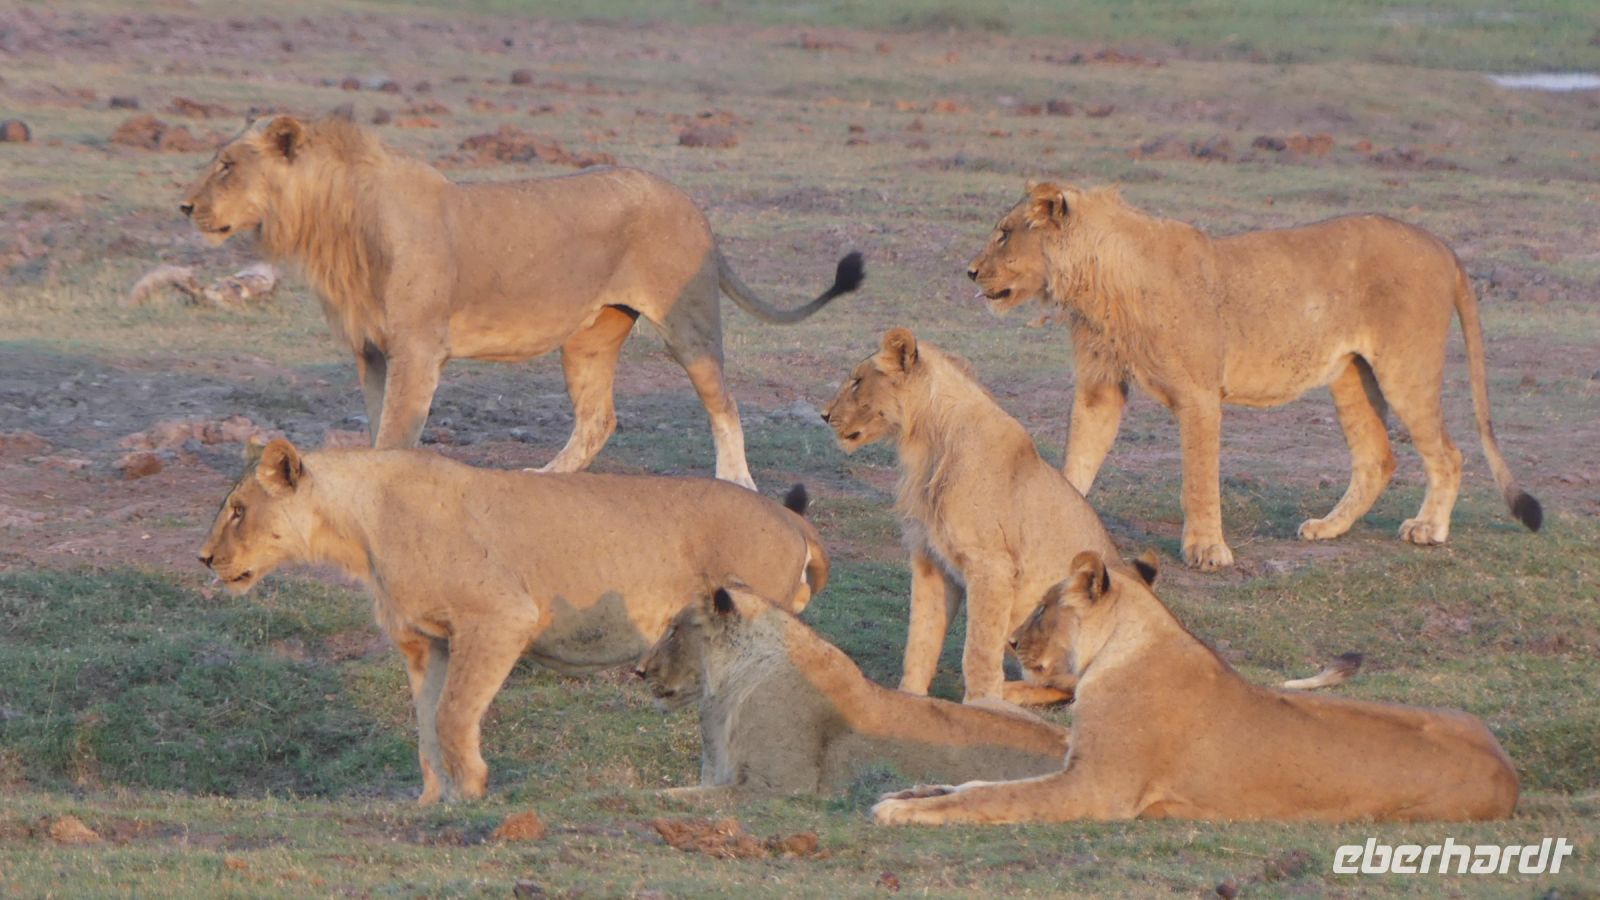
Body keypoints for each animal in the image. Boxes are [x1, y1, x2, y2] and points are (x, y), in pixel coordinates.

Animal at [180, 115, 864, 490]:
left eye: (227, 166)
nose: (184, 206)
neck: (333, 225)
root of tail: (693, 205)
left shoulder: (417, 349)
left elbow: (396, 432)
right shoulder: (372, 351)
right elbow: (378, 427)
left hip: (687, 324)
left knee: (723, 402)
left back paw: (737, 480)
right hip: (588, 337)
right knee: (599, 417)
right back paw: (547, 479)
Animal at [197, 439, 828, 804]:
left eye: (238, 510)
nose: (203, 558)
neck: (360, 525)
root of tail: (790, 518)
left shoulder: (500, 617)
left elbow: (452, 714)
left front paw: (473, 792)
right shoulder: (425, 642)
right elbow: (425, 725)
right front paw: (434, 804)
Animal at [821, 328, 1121, 705]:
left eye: (857, 381)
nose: (824, 414)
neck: (927, 442)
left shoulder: (991, 565)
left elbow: (979, 646)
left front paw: (982, 703)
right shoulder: (931, 558)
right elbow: (922, 634)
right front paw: (910, 697)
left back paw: (1010, 693)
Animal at [873, 551, 1519, 825]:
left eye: (1043, 607)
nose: (1009, 642)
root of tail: (1507, 767)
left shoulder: (1097, 789)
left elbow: (992, 798)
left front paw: (903, 812)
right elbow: (981, 781)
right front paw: (915, 791)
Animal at [967, 182, 1542, 569]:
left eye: (1003, 235)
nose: (969, 272)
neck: (1097, 283)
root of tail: (1439, 243)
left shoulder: (1199, 394)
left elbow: (1198, 479)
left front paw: (1206, 551)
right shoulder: (1099, 387)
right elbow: (1077, 463)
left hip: (1406, 368)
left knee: (1448, 452)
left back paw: (1428, 529)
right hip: (1350, 375)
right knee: (1378, 457)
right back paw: (1327, 528)